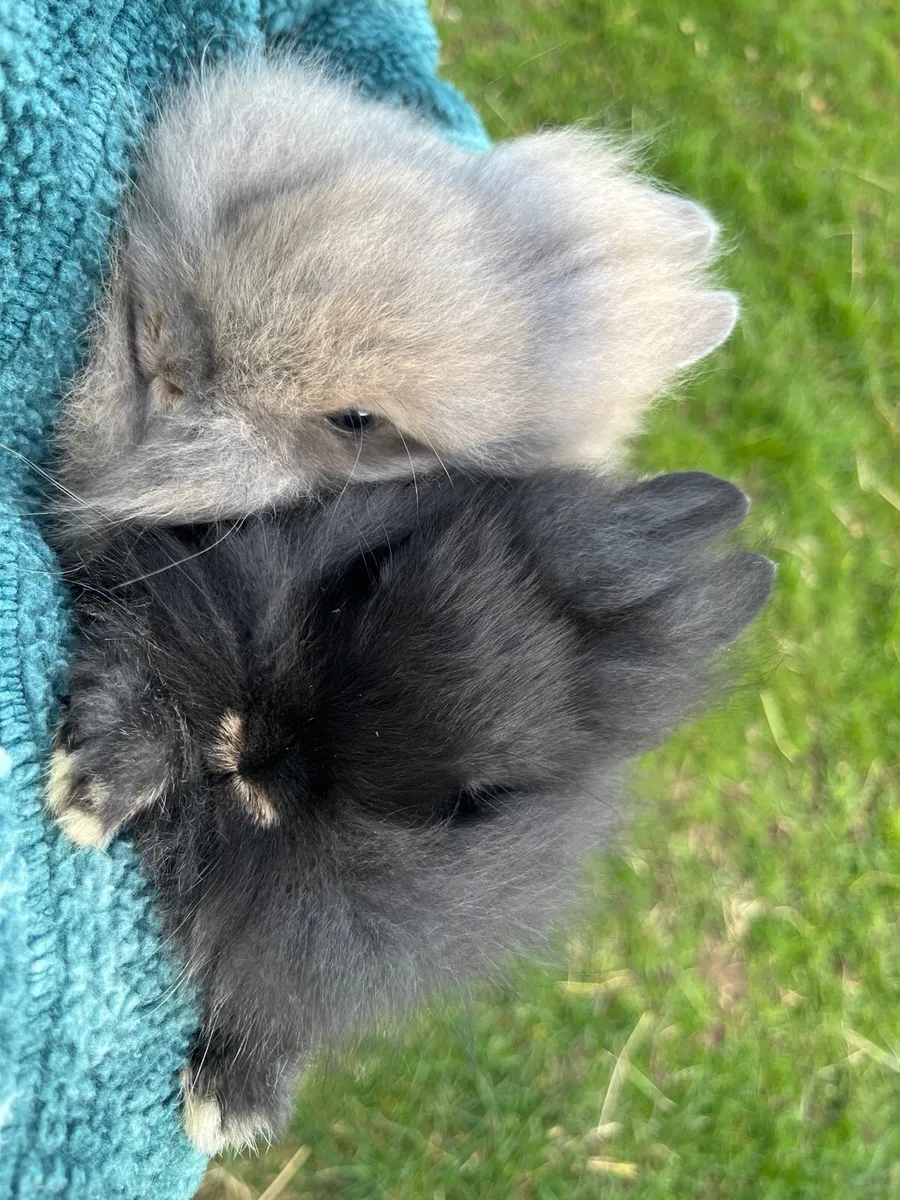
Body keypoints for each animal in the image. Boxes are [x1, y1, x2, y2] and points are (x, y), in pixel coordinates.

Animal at [47, 467, 772, 1152]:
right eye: (361, 579)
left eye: (468, 804)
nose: (262, 763)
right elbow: (147, 676)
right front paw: (89, 797)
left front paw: (230, 1107)